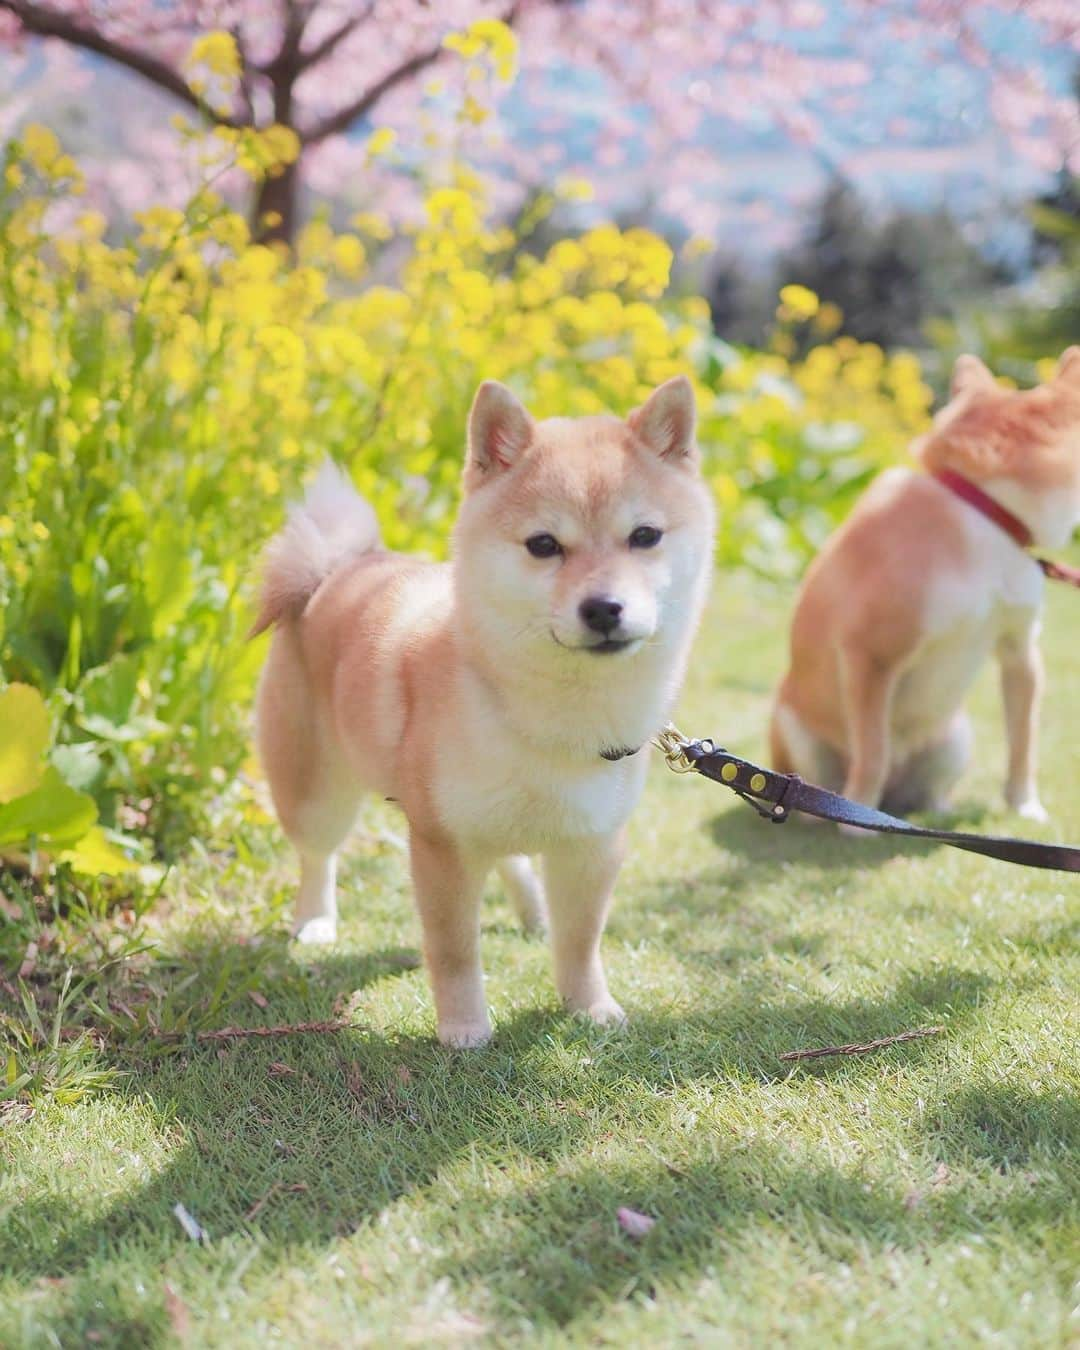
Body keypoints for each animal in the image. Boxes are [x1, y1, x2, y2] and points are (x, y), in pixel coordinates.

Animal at [248, 375, 712, 1047]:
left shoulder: (592, 845)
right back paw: (315, 922)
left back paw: (533, 910)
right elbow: (455, 951)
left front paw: (590, 1006)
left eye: (645, 536)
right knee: (317, 856)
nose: (603, 607)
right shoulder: (442, 845)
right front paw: (464, 1026)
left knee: (513, 856)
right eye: (543, 545)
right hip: (317, 791)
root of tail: (340, 566)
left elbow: (581, 942)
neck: (553, 719)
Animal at [766, 345, 1080, 820]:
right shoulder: (870, 653)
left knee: (926, 794)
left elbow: (1023, 742)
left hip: (954, 739)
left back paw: (935, 813)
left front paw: (1024, 807)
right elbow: (873, 751)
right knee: (817, 788)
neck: (980, 510)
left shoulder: (1019, 651)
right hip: (797, 732)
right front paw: (856, 821)